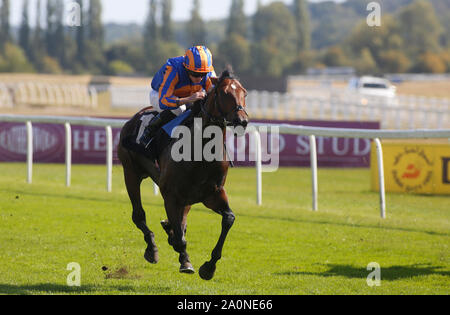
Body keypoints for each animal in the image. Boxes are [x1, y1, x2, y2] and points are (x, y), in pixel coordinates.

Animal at [117, 69, 250, 282]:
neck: (201, 151)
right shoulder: (170, 195)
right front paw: (186, 261)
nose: (242, 120)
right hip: (131, 172)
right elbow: (180, 238)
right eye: (223, 93)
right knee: (138, 215)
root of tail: (135, 117)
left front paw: (209, 267)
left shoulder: (213, 193)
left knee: (181, 220)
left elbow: (228, 218)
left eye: (244, 92)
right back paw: (152, 248)